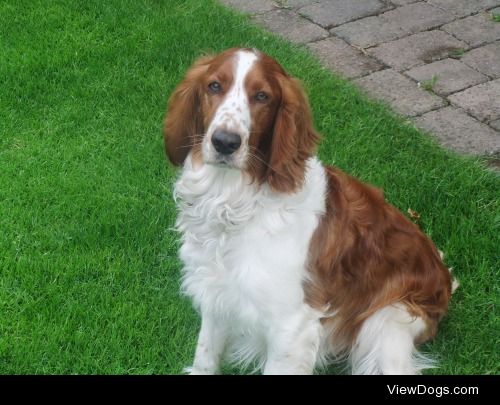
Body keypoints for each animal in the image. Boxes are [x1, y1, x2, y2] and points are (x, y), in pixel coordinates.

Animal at [164, 46, 458, 372]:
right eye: (214, 86)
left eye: (262, 96)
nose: (225, 142)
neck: (235, 201)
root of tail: (444, 276)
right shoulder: (217, 295)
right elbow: (205, 358)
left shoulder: (292, 326)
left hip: (385, 327)